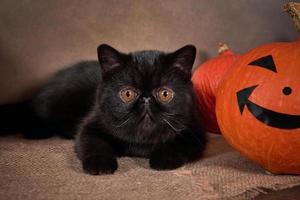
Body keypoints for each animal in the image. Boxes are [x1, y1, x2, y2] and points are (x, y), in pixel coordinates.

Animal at [0, 44, 206, 175]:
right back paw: (37, 131)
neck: (141, 142)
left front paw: (163, 159)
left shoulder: (194, 131)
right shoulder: (91, 125)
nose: (146, 100)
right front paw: (100, 165)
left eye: (164, 94)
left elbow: (177, 143)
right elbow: (95, 144)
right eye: (128, 94)